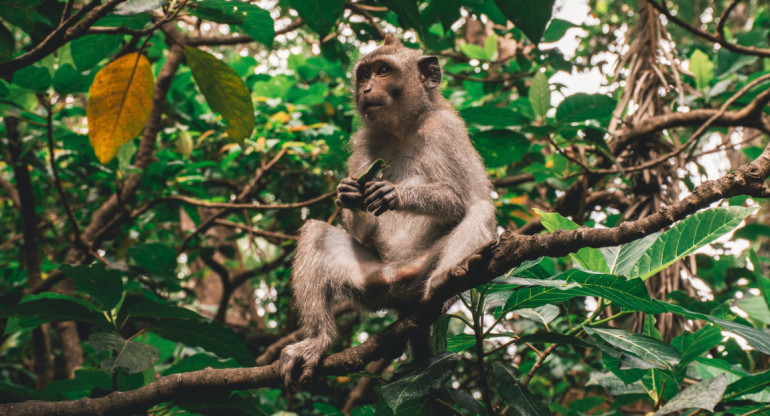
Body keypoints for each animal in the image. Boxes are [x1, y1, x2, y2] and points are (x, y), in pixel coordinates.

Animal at [280, 35, 496, 386]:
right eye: (364, 75)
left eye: (383, 71)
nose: (367, 89)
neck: (403, 128)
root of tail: (399, 283)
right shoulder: (363, 141)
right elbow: (360, 230)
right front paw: (349, 193)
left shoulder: (445, 128)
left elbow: (462, 200)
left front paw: (394, 193)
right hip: (371, 282)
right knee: (315, 233)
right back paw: (318, 340)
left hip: (421, 270)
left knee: (481, 210)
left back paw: (446, 280)